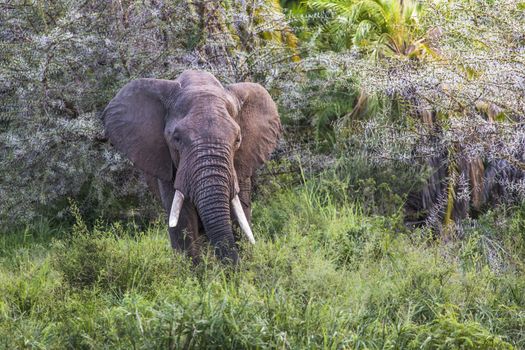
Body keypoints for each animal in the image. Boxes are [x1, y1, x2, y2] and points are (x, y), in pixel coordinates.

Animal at [103, 70, 282, 262]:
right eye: (176, 139)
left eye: (238, 140)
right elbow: (182, 219)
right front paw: (193, 270)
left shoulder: (241, 164)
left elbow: (240, 212)